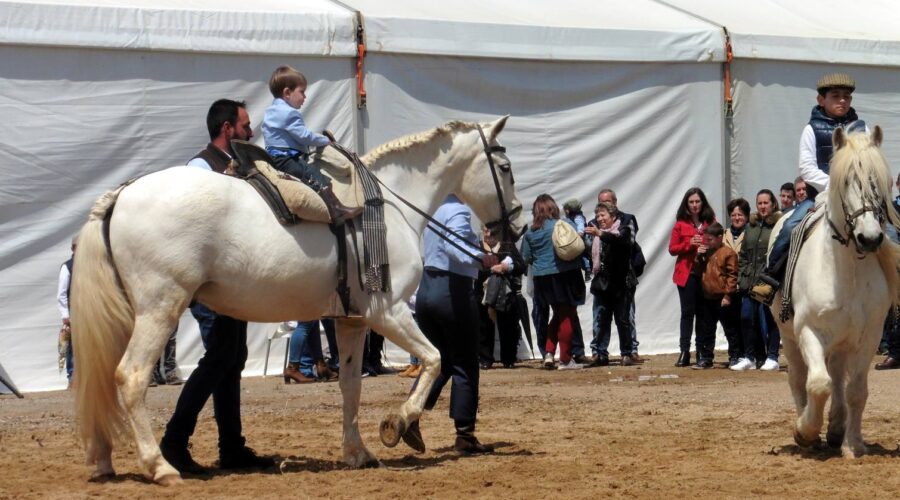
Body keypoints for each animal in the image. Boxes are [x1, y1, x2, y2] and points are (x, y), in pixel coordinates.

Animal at [72, 117, 528, 484]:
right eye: (505, 169)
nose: (517, 227)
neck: (385, 207)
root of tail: (122, 194)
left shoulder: (352, 321)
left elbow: (350, 386)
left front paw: (357, 452)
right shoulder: (390, 312)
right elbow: (434, 359)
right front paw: (398, 424)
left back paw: (107, 459)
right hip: (159, 310)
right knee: (131, 377)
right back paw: (160, 465)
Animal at [768, 126, 900, 458]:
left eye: (878, 181)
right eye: (846, 182)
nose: (870, 238)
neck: (847, 271)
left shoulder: (869, 337)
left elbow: (856, 391)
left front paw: (852, 444)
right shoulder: (807, 331)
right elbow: (817, 384)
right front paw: (805, 431)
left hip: (842, 341)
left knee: (838, 378)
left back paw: (837, 429)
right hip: (788, 336)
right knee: (800, 379)